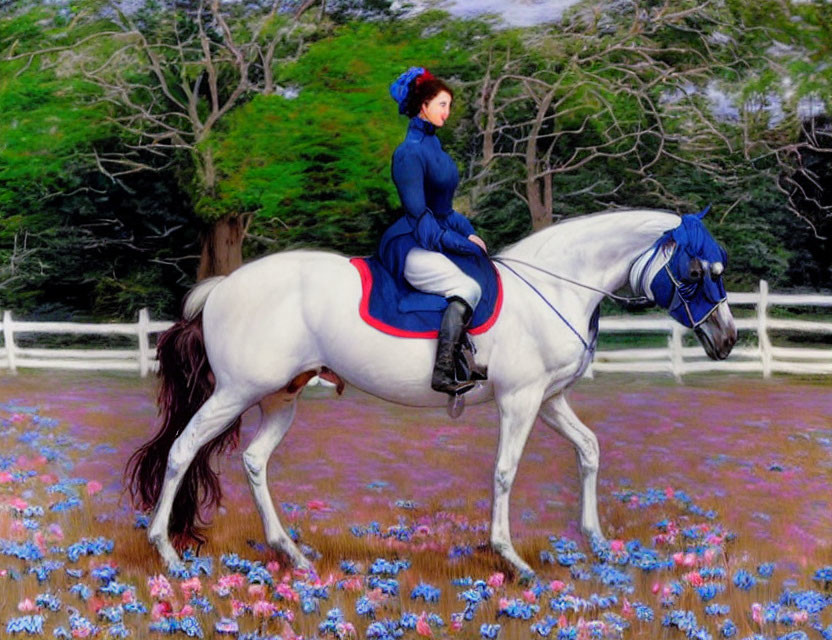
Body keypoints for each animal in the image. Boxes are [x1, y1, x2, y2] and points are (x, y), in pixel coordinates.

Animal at [125, 210, 736, 576]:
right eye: (696, 270)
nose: (727, 339)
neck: (554, 285)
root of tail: (222, 288)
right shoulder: (520, 401)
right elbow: (505, 472)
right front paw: (511, 559)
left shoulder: (547, 399)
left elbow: (589, 450)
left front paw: (598, 541)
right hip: (235, 392)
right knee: (182, 450)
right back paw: (167, 554)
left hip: (280, 397)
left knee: (253, 460)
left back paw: (291, 554)